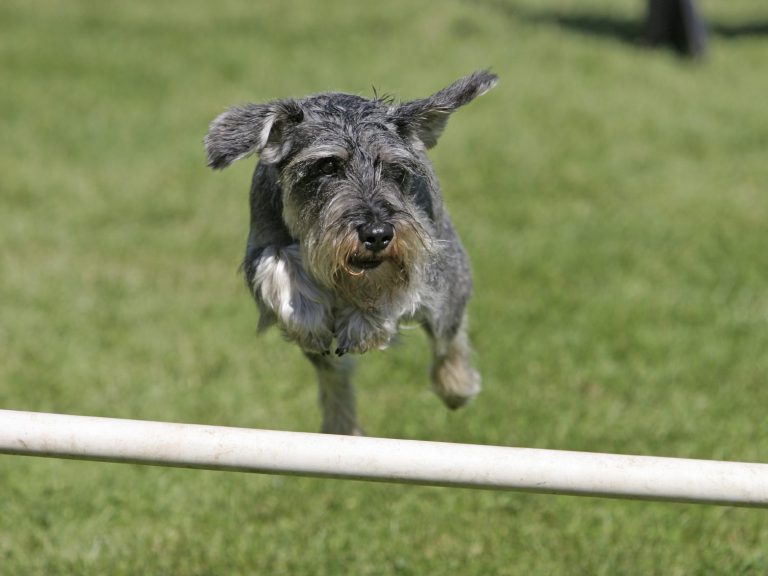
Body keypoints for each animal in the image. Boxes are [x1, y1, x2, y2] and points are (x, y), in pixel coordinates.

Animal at [204, 70, 496, 434]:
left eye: (395, 170)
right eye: (327, 166)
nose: (377, 235)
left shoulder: (423, 255)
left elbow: (399, 289)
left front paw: (365, 322)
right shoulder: (260, 245)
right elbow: (278, 263)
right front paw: (307, 314)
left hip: (450, 282)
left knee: (449, 334)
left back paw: (456, 386)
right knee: (335, 377)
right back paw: (341, 426)